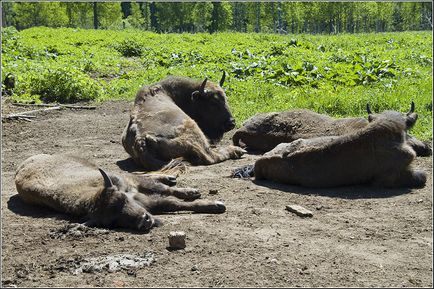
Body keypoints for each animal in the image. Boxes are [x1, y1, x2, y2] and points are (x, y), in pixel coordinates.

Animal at [15, 154, 225, 231]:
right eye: (113, 221)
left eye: (122, 199)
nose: (144, 221)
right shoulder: (147, 202)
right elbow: (171, 203)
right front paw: (214, 205)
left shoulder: (133, 187)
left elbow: (168, 194)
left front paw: (203, 197)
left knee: (147, 176)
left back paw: (174, 180)